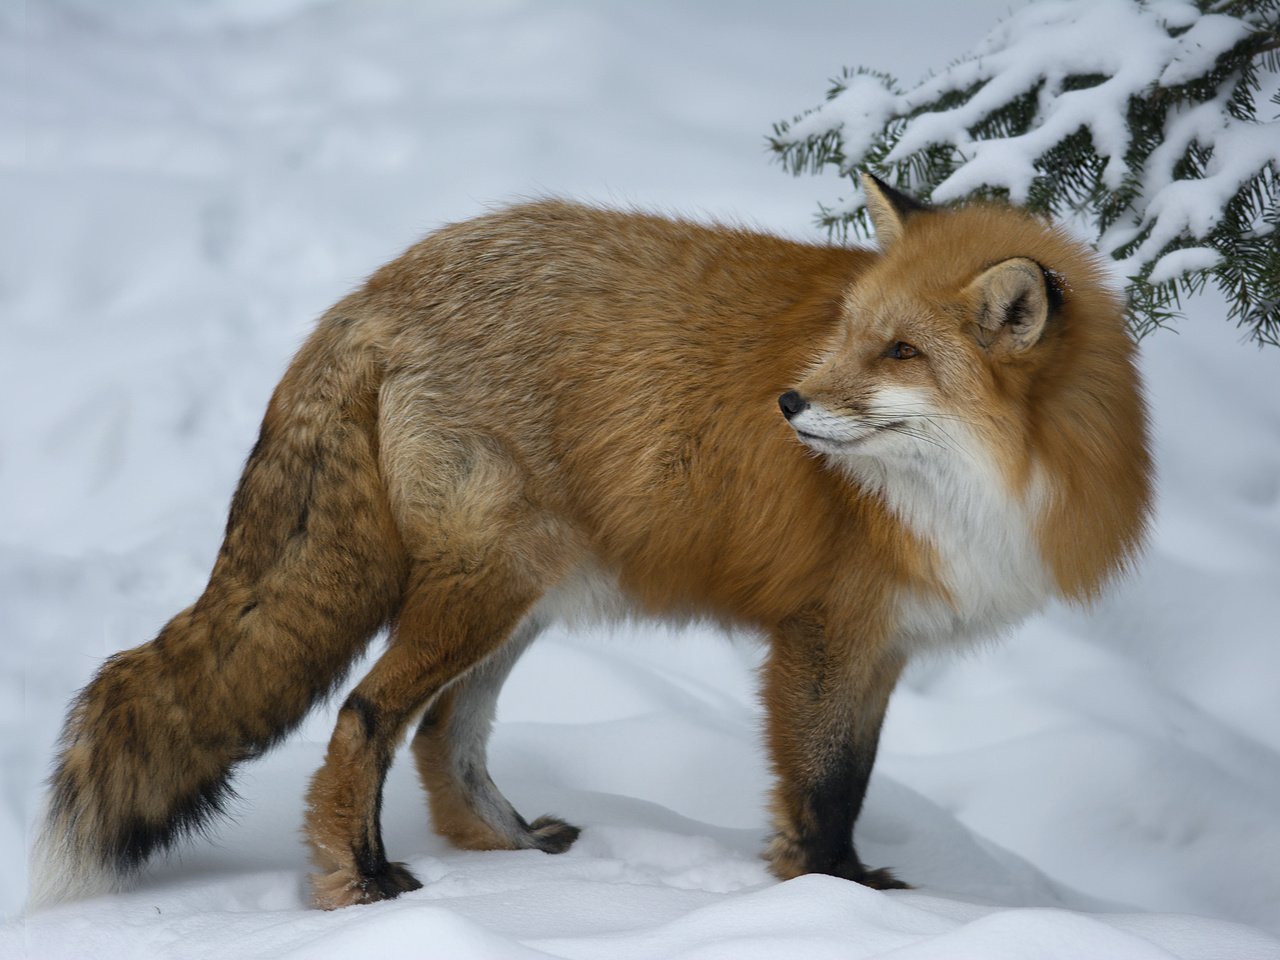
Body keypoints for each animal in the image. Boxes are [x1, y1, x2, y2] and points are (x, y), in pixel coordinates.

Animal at [30, 179, 1152, 911]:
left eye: (901, 352)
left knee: (445, 737)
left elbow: (853, 781)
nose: (787, 403)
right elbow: (824, 791)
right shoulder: (823, 635)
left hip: (524, 598)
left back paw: (512, 850)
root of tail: (374, 288)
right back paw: (362, 879)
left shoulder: (885, 647)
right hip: (488, 586)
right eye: (849, 335)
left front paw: (841, 894)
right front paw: (832, 904)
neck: (993, 482)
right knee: (366, 717)